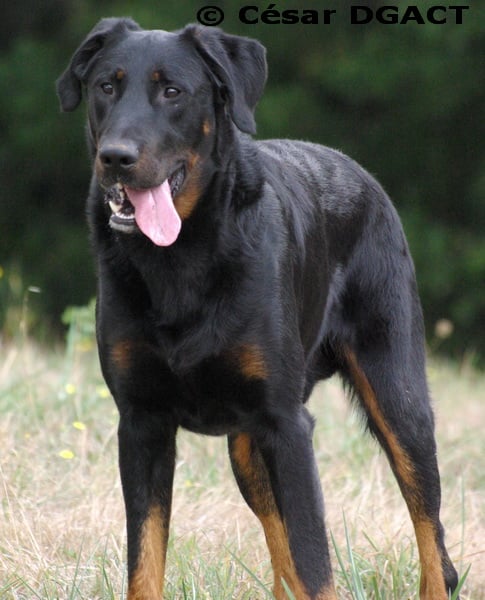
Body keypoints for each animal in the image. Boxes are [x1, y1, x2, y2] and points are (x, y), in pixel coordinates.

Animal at [56, 18, 458, 600]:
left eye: (172, 91)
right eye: (106, 86)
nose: (116, 157)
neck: (181, 258)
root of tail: (362, 175)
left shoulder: (287, 426)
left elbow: (315, 564)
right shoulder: (141, 423)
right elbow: (145, 558)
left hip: (398, 396)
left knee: (430, 534)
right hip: (246, 449)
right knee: (279, 538)